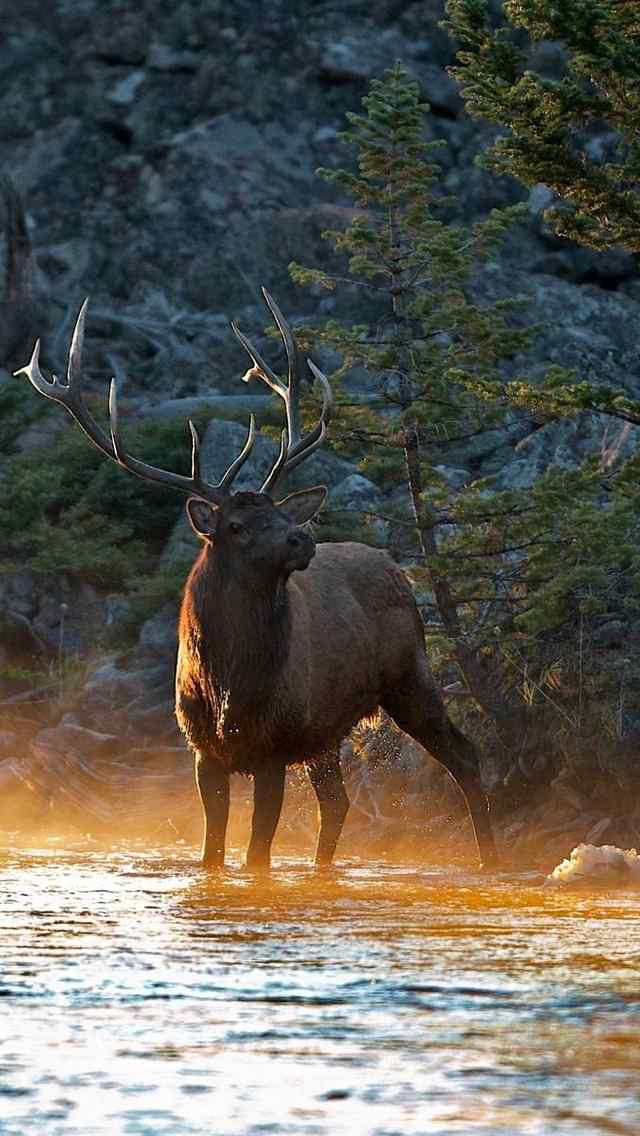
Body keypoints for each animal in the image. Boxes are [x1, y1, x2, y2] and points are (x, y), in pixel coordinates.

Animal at [12, 290, 497, 867]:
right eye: (237, 525)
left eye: (282, 513)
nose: (301, 538)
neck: (228, 686)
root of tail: (394, 566)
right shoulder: (204, 751)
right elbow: (213, 853)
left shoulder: (273, 747)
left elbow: (257, 856)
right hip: (325, 730)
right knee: (338, 802)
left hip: (409, 675)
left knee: (465, 756)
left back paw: (492, 859)